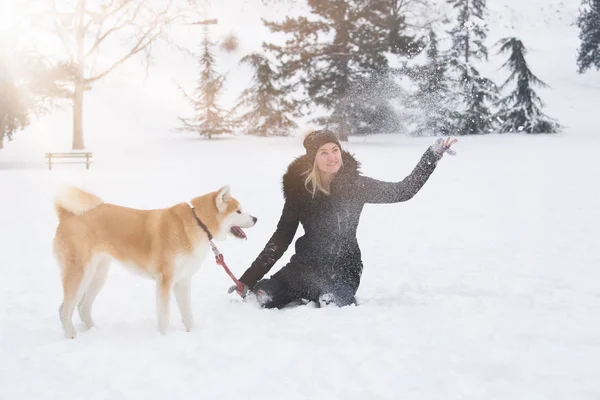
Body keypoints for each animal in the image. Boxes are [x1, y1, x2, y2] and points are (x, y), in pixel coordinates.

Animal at [52, 184, 256, 338]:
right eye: (238, 211)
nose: (256, 218)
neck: (198, 223)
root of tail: (67, 215)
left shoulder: (182, 282)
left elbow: (188, 313)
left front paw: (192, 333)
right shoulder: (165, 281)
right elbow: (164, 316)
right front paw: (163, 338)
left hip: (98, 275)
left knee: (82, 306)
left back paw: (94, 331)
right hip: (80, 274)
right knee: (64, 309)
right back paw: (71, 335)